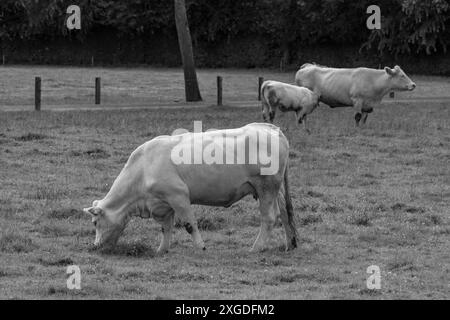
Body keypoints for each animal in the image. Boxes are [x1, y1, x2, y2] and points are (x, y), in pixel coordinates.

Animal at [83, 123, 298, 255]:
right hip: (276, 189)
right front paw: (162, 250)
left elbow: (189, 224)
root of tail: (269, 127)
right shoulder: (163, 204)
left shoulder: (179, 196)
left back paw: (256, 247)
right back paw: (290, 244)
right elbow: (166, 228)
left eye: (95, 222)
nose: (96, 246)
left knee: (269, 217)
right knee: (285, 213)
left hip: (266, 187)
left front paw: (200, 247)